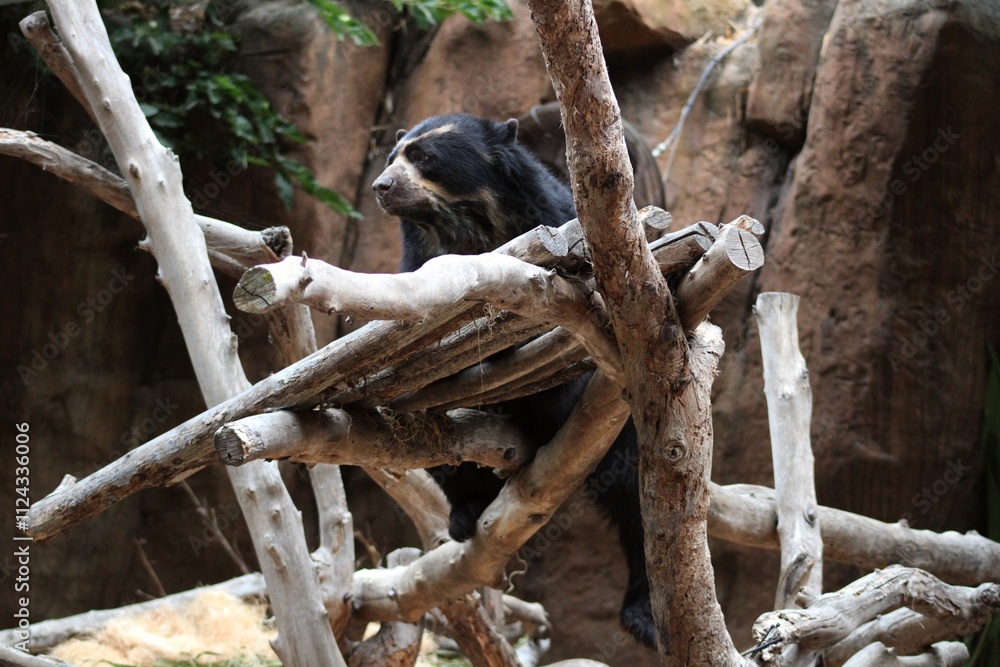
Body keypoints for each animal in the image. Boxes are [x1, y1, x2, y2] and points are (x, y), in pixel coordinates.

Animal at [372, 112, 655, 649]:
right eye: (391, 157)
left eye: (425, 157)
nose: (381, 187)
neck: (466, 226)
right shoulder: (420, 266)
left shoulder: (553, 228)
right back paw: (465, 512)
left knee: (636, 499)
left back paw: (643, 615)